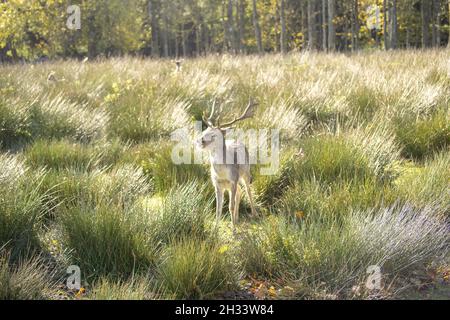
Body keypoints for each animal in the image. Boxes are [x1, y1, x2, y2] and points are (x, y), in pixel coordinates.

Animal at [197, 99, 260, 231]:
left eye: (214, 135)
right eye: (205, 131)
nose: (200, 140)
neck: (222, 173)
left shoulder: (233, 180)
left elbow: (230, 206)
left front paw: (234, 230)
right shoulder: (217, 184)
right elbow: (218, 208)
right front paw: (215, 229)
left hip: (246, 173)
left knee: (248, 190)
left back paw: (254, 214)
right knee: (240, 192)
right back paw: (236, 219)